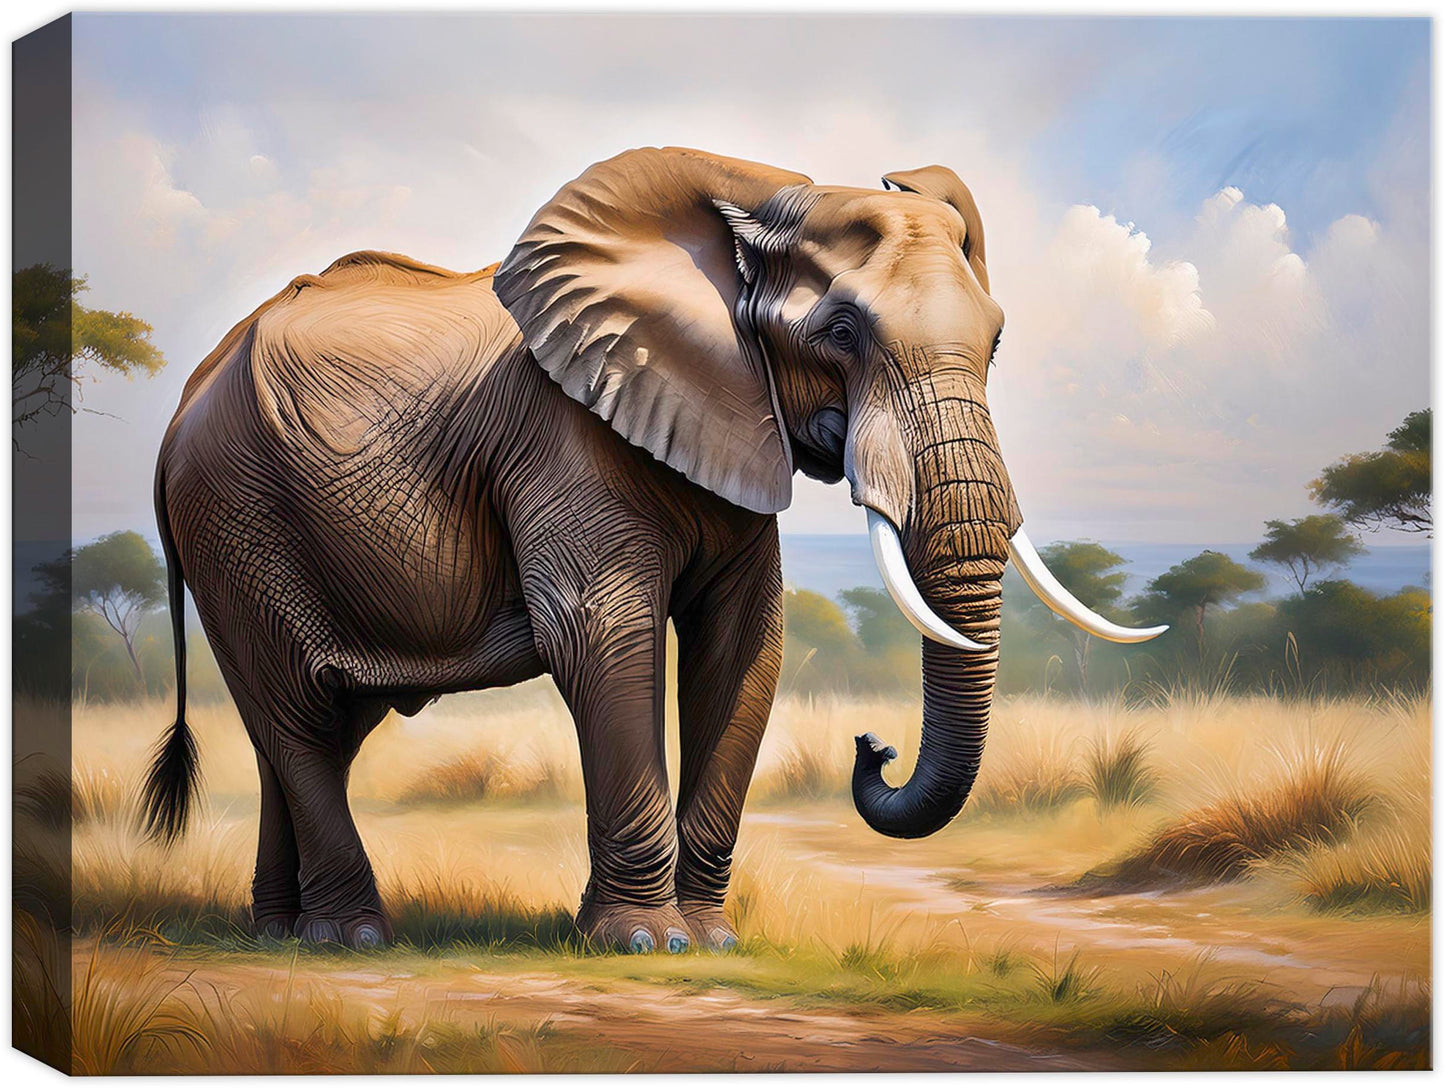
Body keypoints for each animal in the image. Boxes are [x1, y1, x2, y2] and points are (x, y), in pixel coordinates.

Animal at [143, 146, 1164, 953]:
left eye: (995, 342)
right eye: (840, 332)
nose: (872, 744)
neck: (761, 199)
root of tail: (182, 404)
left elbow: (743, 646)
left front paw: (709, 943)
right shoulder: (565, 435)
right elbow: (602, 634)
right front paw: (641, 944)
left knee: (323, 723)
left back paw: (282, 932)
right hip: (233, 518)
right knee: (293, 710)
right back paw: (351, 938)